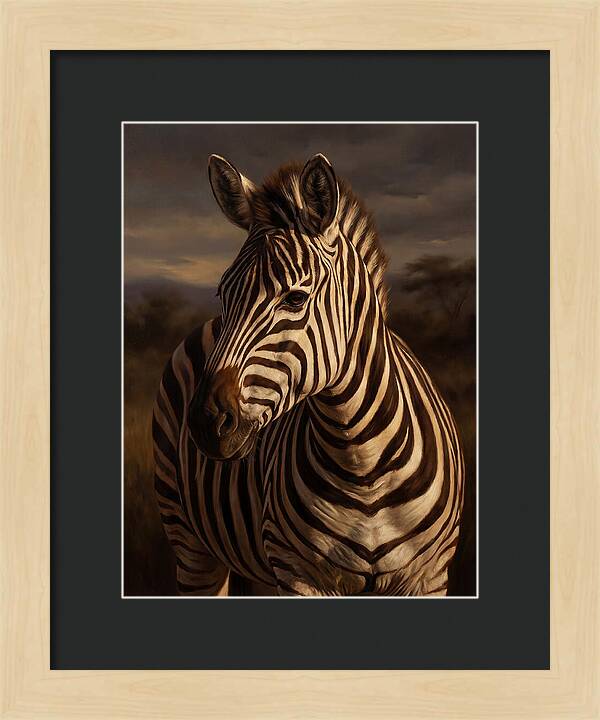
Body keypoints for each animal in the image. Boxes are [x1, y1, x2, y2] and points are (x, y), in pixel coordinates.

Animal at [152, 153, 464, 596]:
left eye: (296, 298)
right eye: (222, 293)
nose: (206, 422)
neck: (362, 464)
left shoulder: (430, 576)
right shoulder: (300, 573)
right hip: (189, 539)